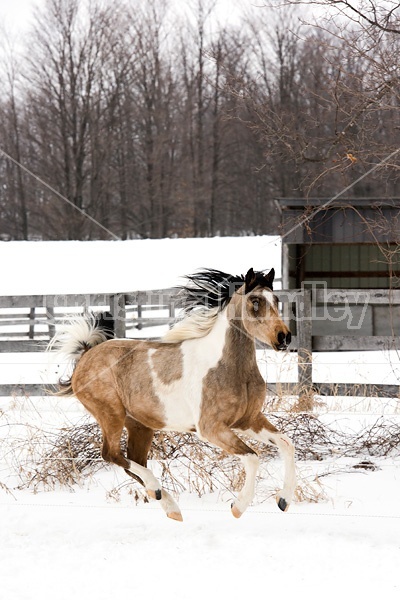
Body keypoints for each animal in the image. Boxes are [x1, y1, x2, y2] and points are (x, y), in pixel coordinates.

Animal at [50, 268, 296, 520]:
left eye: (276, 300)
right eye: (255, 302)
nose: (284, 337)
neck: (230, 368)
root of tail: (86, 355)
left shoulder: (248, 420)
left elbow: (287, 444)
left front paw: (283, 500)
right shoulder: (211, 428)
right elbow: (252, 457)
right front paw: (238, 507)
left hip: (140, 425)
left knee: (134, 461)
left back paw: (169, 505)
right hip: (111, 415)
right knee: (111, 454)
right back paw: (159, 491)